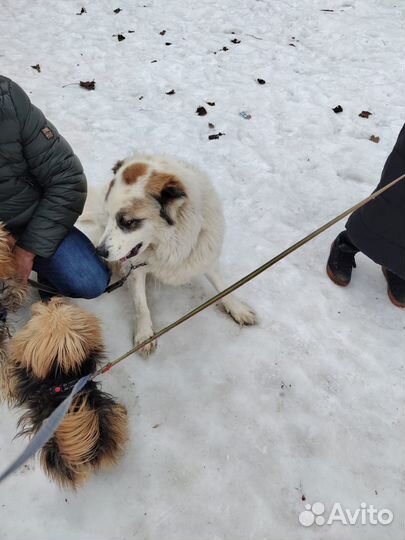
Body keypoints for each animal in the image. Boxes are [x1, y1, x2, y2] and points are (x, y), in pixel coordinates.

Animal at [94, 155, 256, 354]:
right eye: (110, 215)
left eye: (128, 222)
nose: (99, 251)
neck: (167, 243)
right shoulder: (135, 268)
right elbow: (141, 305)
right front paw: (145, 333)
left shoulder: (204, 251)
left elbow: (223, 286)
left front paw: (237, 308)